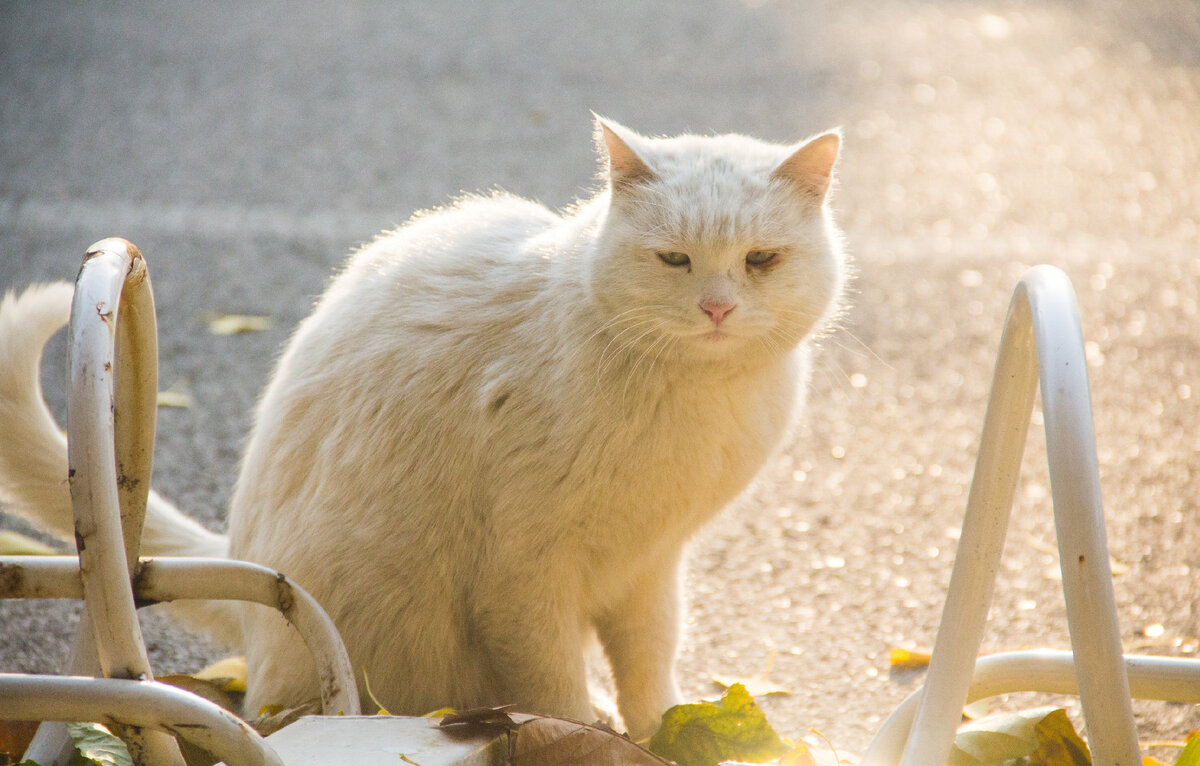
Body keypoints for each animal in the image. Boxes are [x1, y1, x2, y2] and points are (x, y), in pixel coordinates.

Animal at [0, 117, 844, 739]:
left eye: (761, 260)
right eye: (674, 260)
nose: (717, 308)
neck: (697, 403)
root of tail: (238, 553)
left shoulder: (650, 565)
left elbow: (649, 669)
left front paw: (666, 733)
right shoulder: (525, 573)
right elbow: (554, 685)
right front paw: (583, 734)